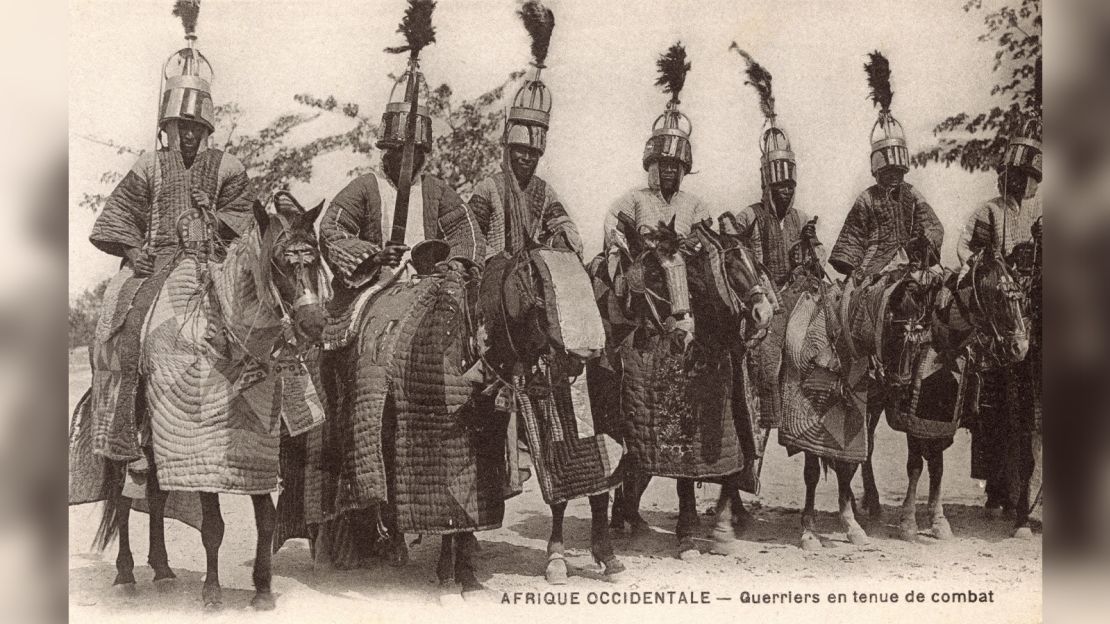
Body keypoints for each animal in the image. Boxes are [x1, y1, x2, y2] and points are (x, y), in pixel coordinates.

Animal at [71, 192, 324, 608]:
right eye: (278, 262)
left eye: (315, 259)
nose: (314, 324)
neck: (222, 336)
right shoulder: (201, 447)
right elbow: (213, 527)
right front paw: (212, 592)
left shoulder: (251, 453)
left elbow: (266, 520)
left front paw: (262, 590)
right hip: (122, 435)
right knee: (122, 499)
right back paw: (126, 574)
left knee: (155, 496)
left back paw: (162, 569)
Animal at [586, 216, 777, 555]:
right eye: (731, 264)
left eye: (757, 265)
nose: (763, 313)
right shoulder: (687, 432)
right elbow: (687, 476)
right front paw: (688, 532)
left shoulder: (732, 419)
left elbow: (734, 466)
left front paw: (724, 528)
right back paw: (625, 519)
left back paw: (628, 518)